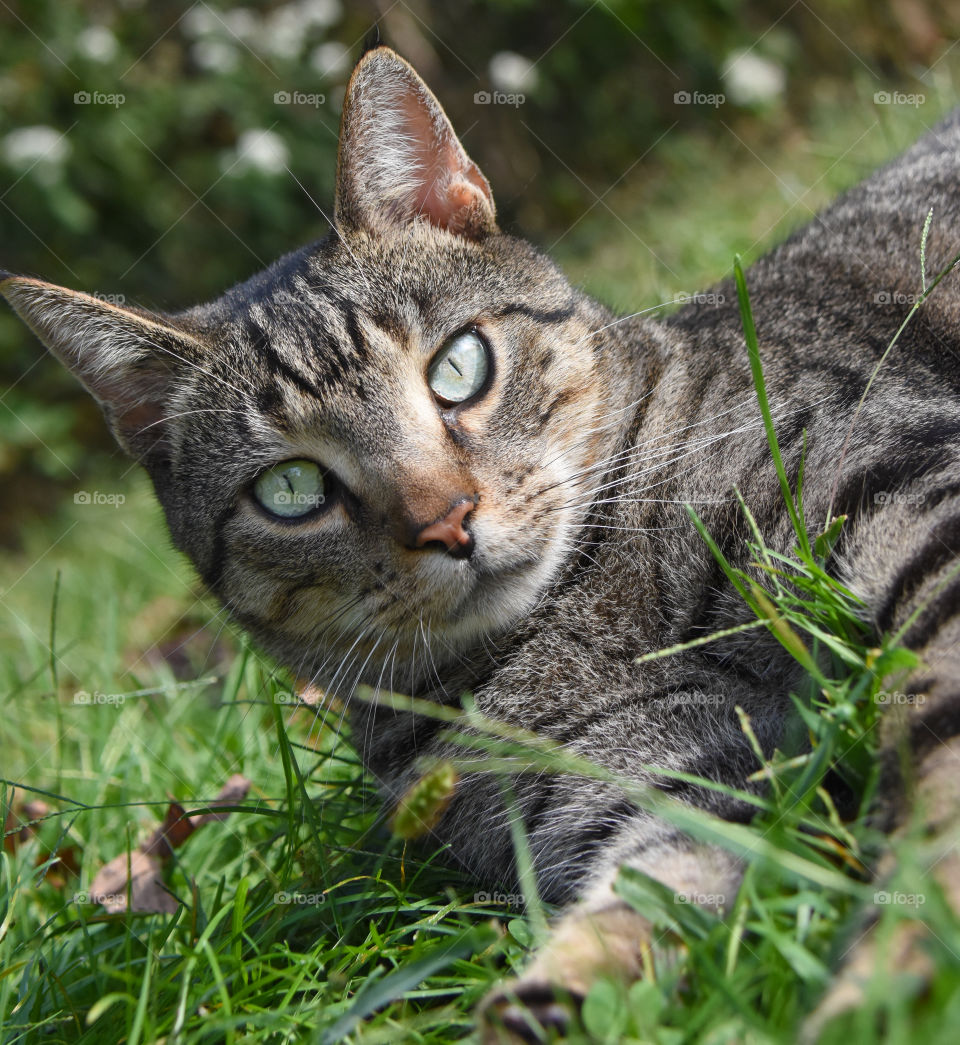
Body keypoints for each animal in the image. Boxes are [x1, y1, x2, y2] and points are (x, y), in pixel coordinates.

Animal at [1, 42, 960, 1045]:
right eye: (291, 489)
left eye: (459, 367)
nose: (448, 521)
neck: (589, 604)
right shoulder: (645, 775)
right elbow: (660, 884)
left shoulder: (903, 497)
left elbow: (941, 751)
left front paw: (894, 977)